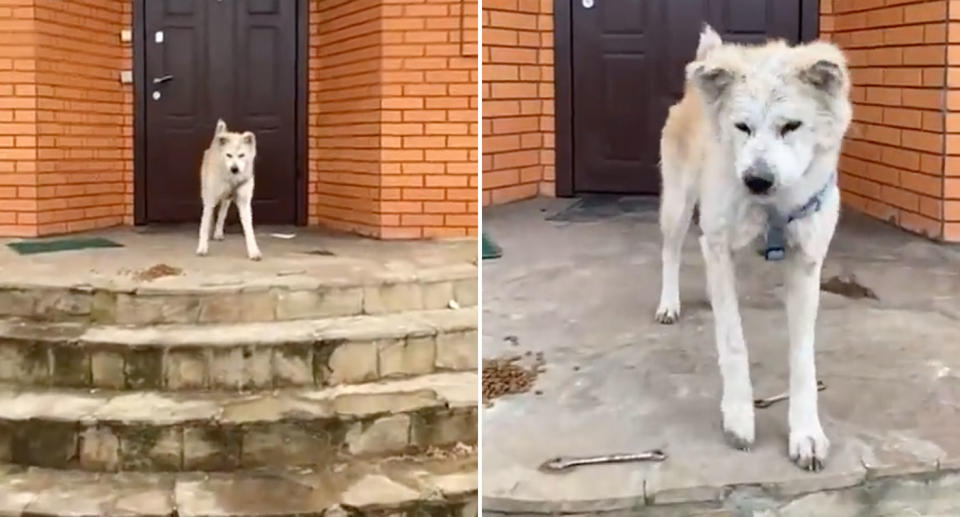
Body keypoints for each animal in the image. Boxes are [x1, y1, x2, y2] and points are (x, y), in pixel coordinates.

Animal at [196, 118, 262, 260]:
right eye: (229, 155)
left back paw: (218, 233)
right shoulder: (210, 199)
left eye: (242, 155)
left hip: (226, 200)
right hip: (207, 194)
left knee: (221, 214)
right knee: (209, 214)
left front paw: (253, 251)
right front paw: (202, 248)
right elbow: (204, 225)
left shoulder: (244, 202)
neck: (232, 179)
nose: (234, 169)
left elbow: (249, 229)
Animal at [656, 27, 852, 472]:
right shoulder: (719, 243)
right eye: (742, 127)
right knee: (671, 252)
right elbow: (733, 342)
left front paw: (806, 434)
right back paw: (669, 303)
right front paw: (739, 418)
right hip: (678, 205)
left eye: (791, 126)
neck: (773, 207)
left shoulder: (806, 263)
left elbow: (802, 357)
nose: (756, 180)